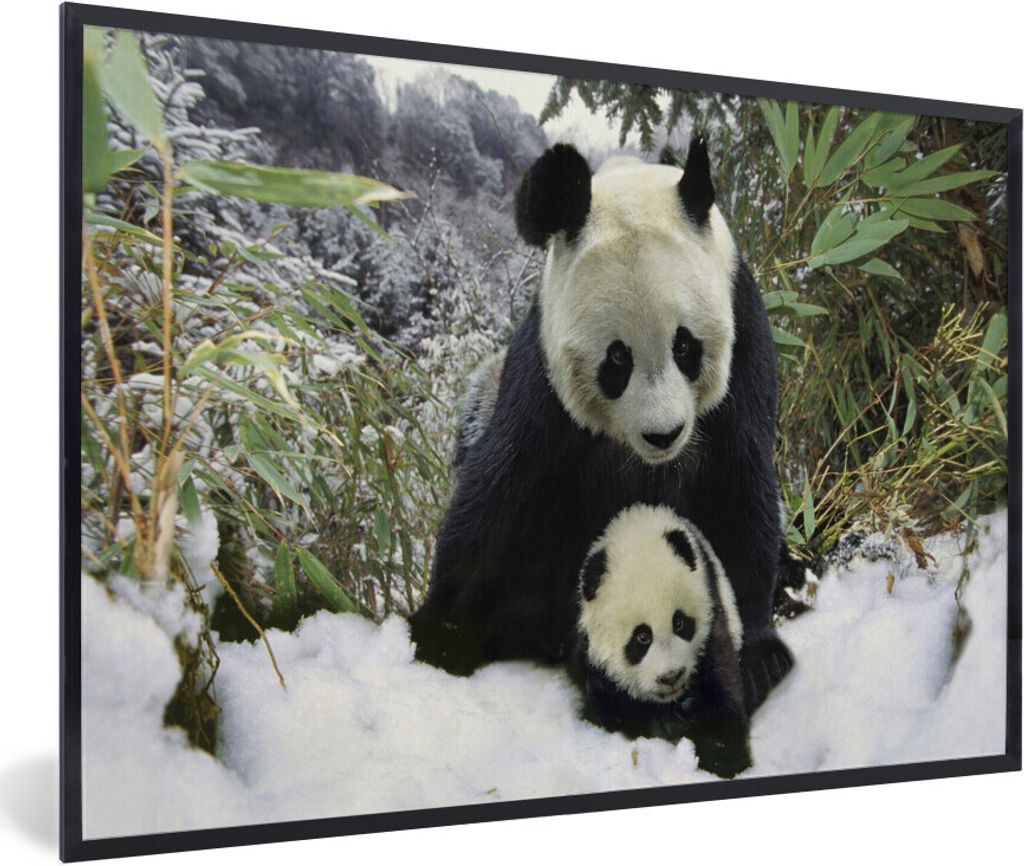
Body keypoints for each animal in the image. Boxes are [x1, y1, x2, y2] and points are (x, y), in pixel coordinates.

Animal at [409, 135, 792, 712]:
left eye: (685, 346)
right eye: (617, 359)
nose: (664, 434)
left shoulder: (743, 343)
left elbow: (739, 487)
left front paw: (759, 653)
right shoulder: (542, 379)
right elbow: (497, 493)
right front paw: (441, 633)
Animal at [570, 504, 750, 779]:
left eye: (680, 623)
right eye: (642, 637)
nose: (671, 677)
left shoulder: (713, 615)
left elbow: (722, 683)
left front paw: (724, 757)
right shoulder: (594, 660)